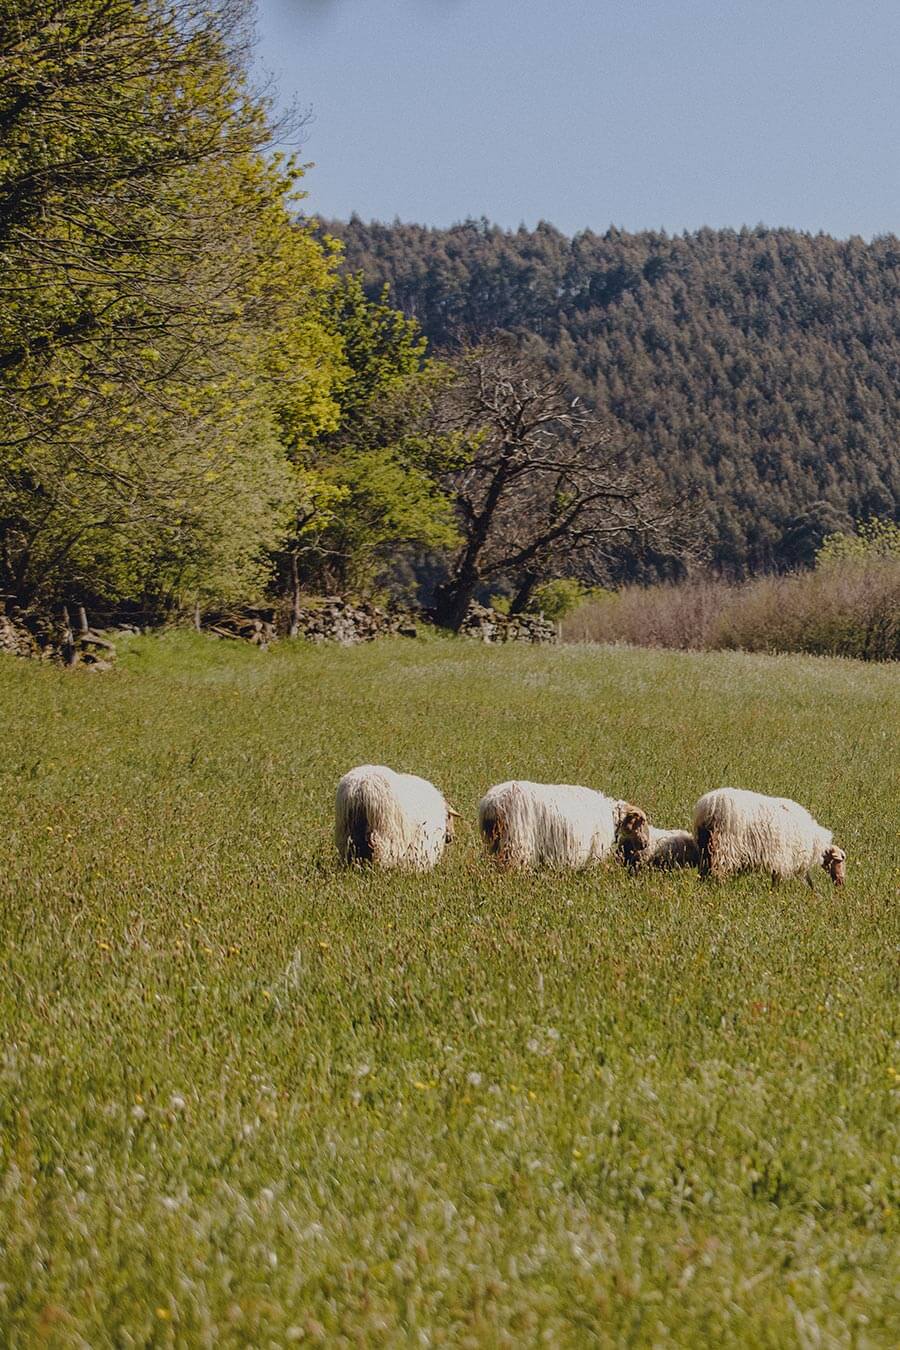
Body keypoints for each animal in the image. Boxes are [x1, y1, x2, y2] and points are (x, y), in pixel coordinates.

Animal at [696, 788, 847, 891]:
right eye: (840, 861)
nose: (841, 883)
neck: (814, 840)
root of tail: (709, 805)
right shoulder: (784, 857)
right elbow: (777, 878)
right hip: (725, 847)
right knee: (718, 870)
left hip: (705, 845)